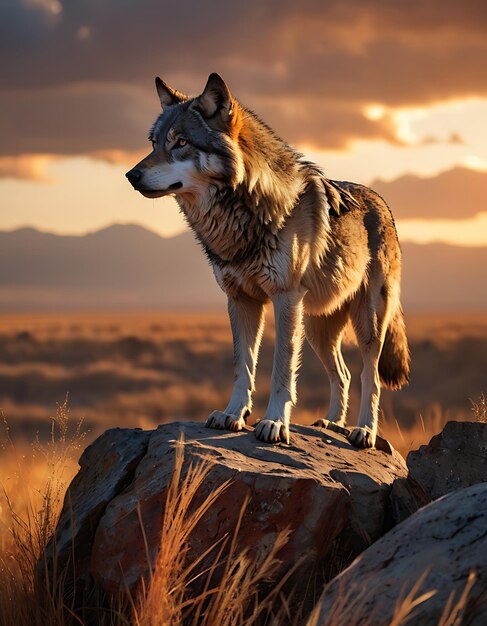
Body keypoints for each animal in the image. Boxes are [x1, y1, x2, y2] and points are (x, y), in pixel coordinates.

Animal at [127, 73, 412, 446]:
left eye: (182, 142)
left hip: (367, 324)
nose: (131, 175)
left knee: (370, 377)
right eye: (154, 143)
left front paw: (274, 423)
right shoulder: (240, 300)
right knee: (343, 374)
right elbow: (243, 366)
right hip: (317, 328)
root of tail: (383, 204)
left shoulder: (285, 298)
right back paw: (332, 424)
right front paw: (233, 414)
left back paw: (363, 431)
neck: (242, 213)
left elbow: (281, 370)